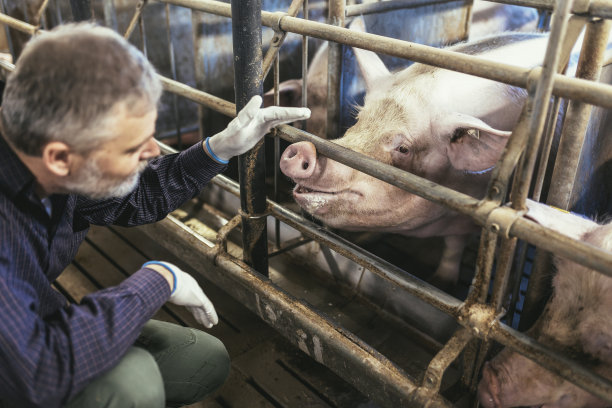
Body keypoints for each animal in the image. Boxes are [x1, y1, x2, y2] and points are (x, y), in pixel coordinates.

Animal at [280, 34, 552, 290]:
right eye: (358, 119)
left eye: (403, 148)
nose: (304, 149)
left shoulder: (467, 216)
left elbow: (454, 247)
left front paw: (441, 282)